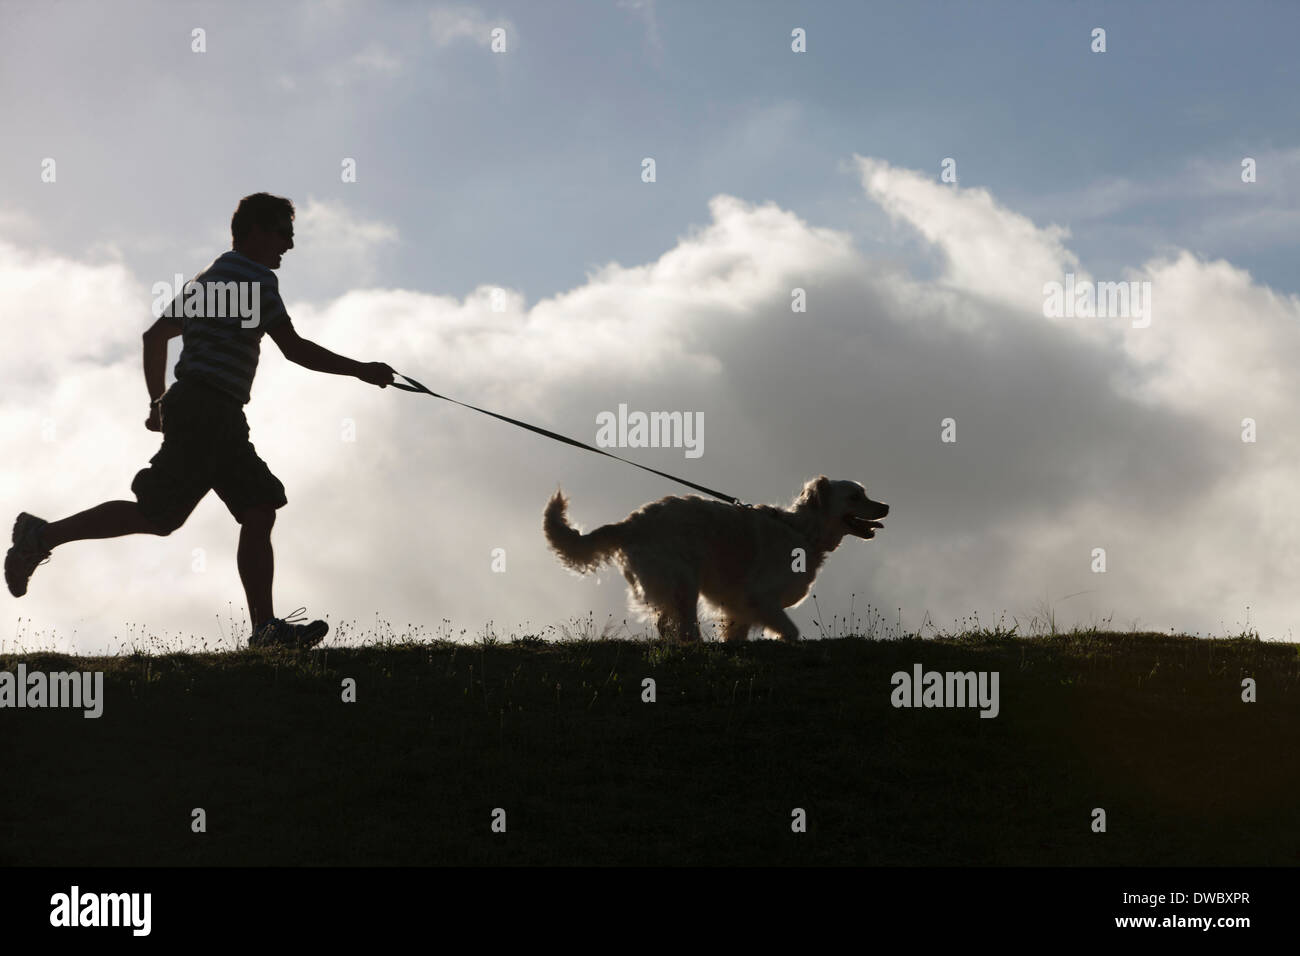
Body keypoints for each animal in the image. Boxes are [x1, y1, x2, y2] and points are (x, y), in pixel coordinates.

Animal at [543, 476, 889, 642]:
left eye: (865, 493)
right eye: (855, 496)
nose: (886, 506)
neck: (803, 531)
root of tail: (631, 522)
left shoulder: (739, 608)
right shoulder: (759, 597)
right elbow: (791, 632)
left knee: (667, 624)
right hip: (683, 582)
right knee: (684, 627)